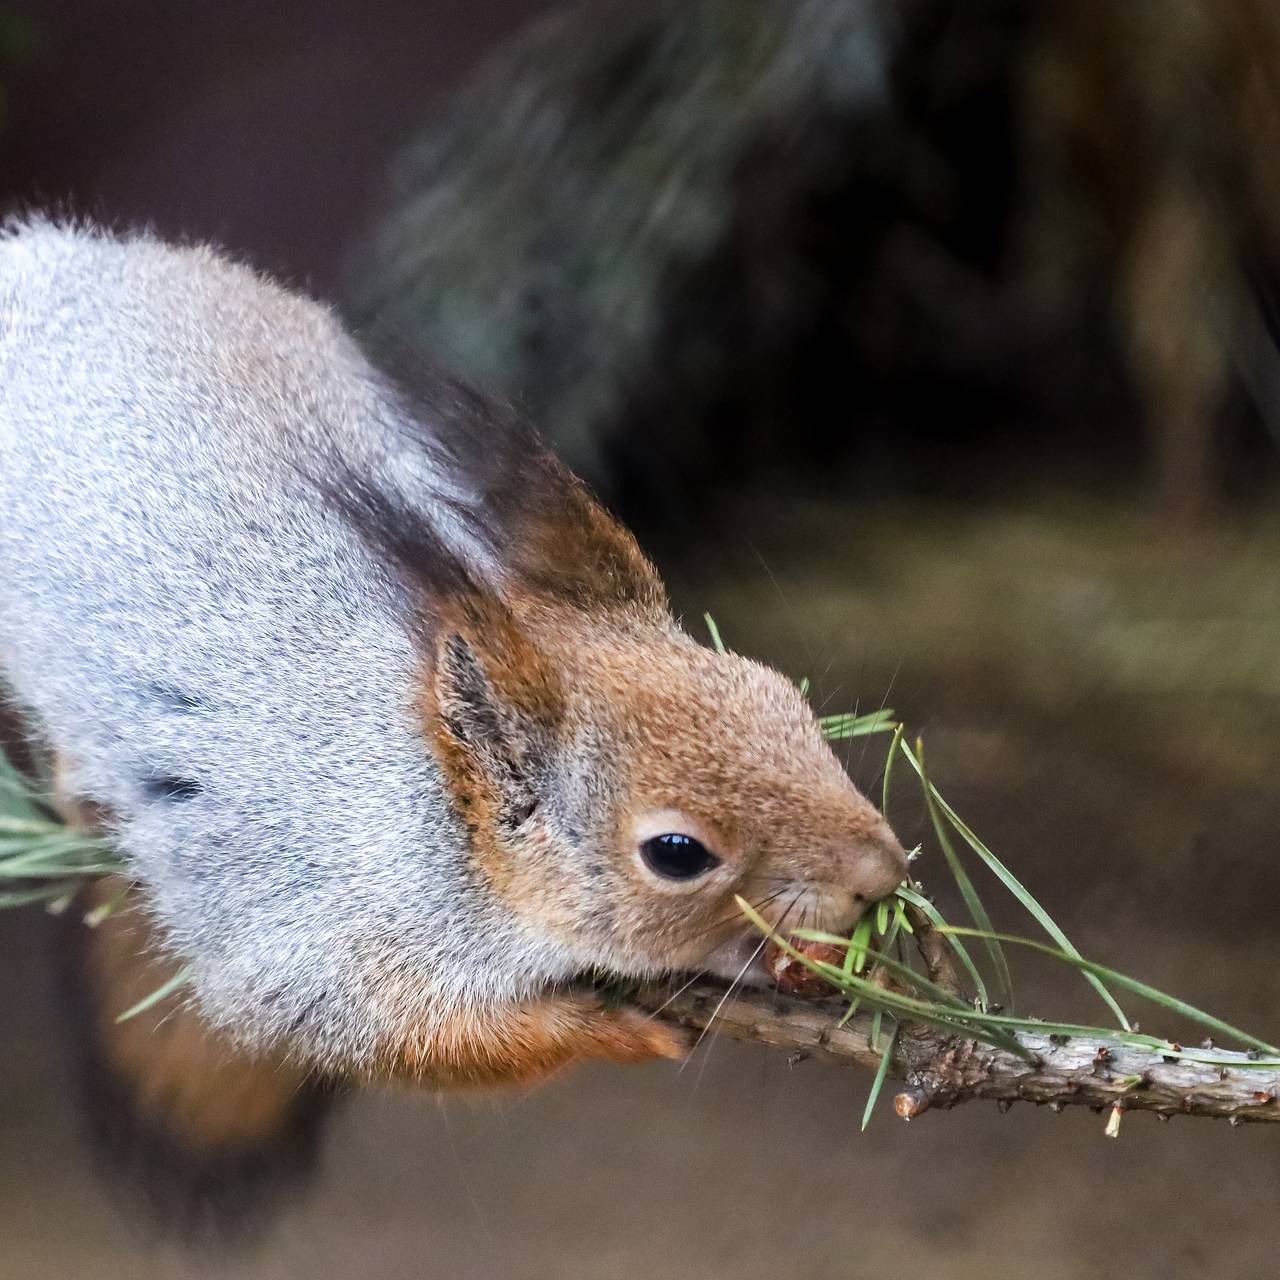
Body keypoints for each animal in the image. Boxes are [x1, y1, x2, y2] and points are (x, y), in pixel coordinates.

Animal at [0, 220, 906, 1228]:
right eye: (676, 853)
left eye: (784, 697)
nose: (884, 872)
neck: (442, 797)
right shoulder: (318, 931)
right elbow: (411, 1042)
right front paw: (613, 1031)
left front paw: (810, 959)